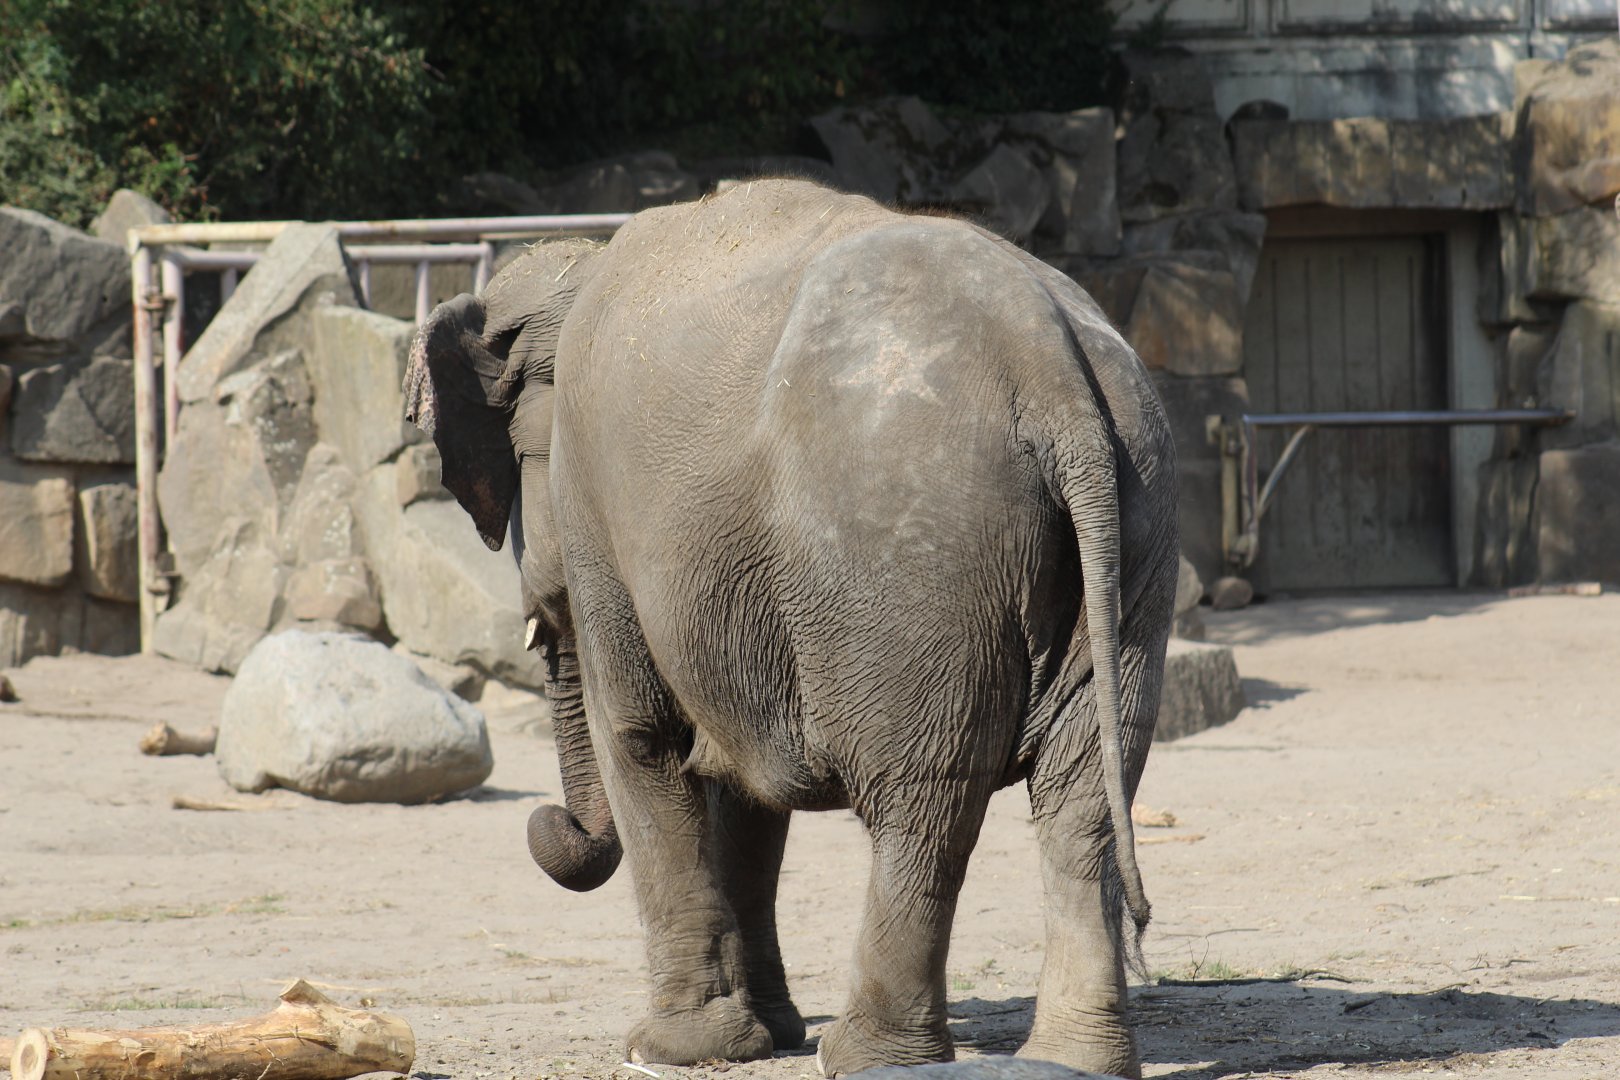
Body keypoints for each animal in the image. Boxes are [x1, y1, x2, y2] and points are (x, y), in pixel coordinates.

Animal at [403, 179, 1179, 1078]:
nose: (548, 821)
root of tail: (1051, 373)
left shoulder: (599, 507)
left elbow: (639, 736)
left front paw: (671, 1048)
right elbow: (742, 782)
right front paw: (765, 1035)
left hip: (910, 557)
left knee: (923, 798)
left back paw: (871, 1055)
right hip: (1134, 523)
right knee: (1082, 792)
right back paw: (1069, 1060)